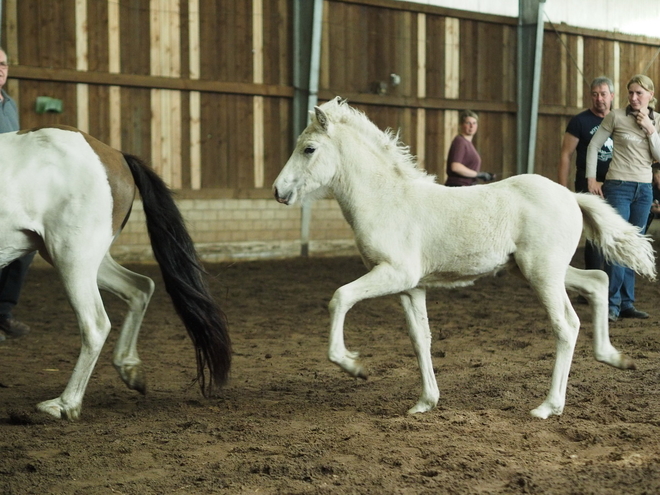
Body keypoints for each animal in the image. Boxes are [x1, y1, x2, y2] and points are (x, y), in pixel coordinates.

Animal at [0, 126, 232, 420]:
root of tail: (114, 154)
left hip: (72, 257)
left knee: (95, 325)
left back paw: (65, 404)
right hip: (84, 260)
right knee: (140, 287)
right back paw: (130, 369)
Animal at [272, 99, 656, 420]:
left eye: (308, 148)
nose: (278, 190)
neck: (387, 200)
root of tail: (571, 195)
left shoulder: (395, 274)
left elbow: (340, 298)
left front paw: (353, 365)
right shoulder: (411, 287)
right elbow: (420, 338)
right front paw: (425, 402)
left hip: (542, 273)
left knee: (566, 326)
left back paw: (549, 406)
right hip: (537, 270)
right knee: (598, 281)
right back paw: (613, 357)